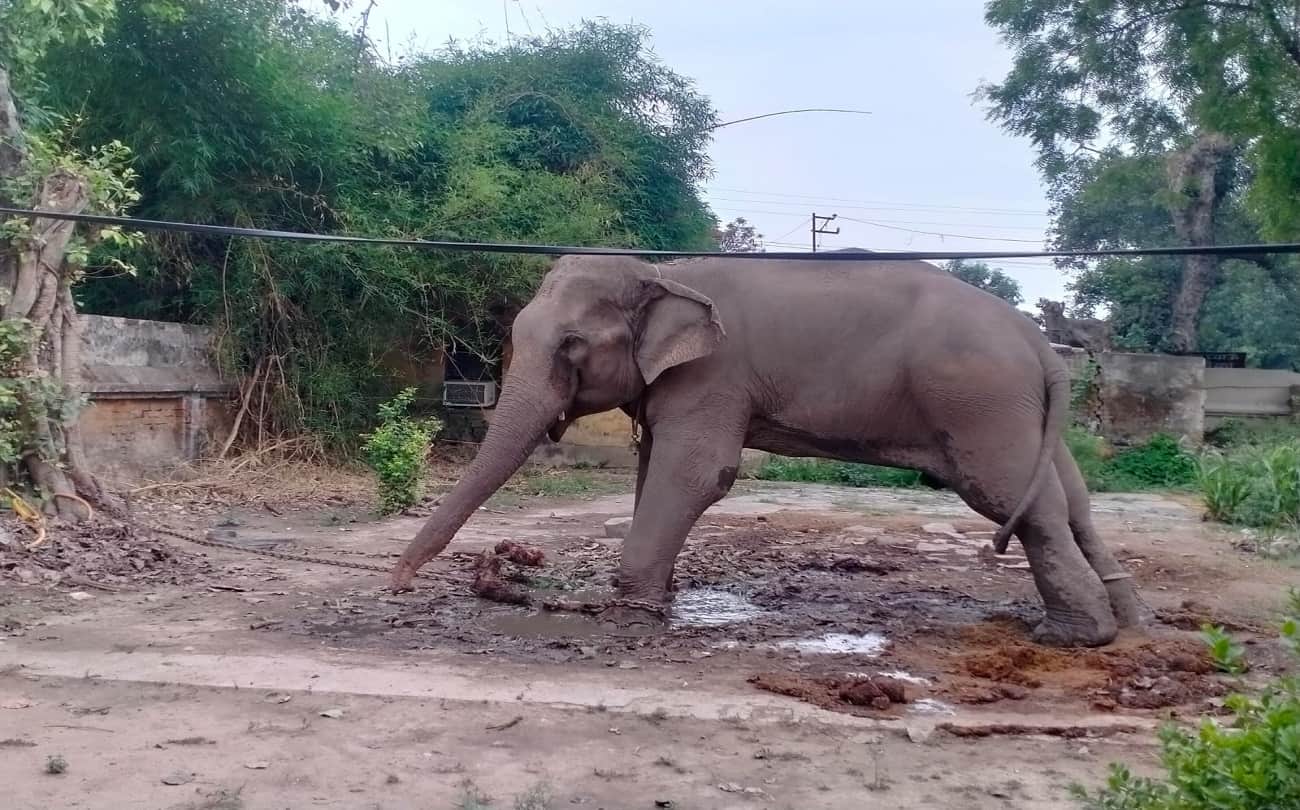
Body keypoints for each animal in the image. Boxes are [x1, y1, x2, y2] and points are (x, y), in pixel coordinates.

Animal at [391, 255, 1145, 647]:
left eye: (572, 346)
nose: (395, 585)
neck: (657, 272)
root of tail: (1038, 341)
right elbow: (654, 469)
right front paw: (660, 598)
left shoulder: (713, 376)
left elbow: (700, 474)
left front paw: (628, 615)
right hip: (1018, 410)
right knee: (1070, 498)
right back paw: (1131, 619)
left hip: (978, 401)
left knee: (1016, 500)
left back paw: (1074, 637)